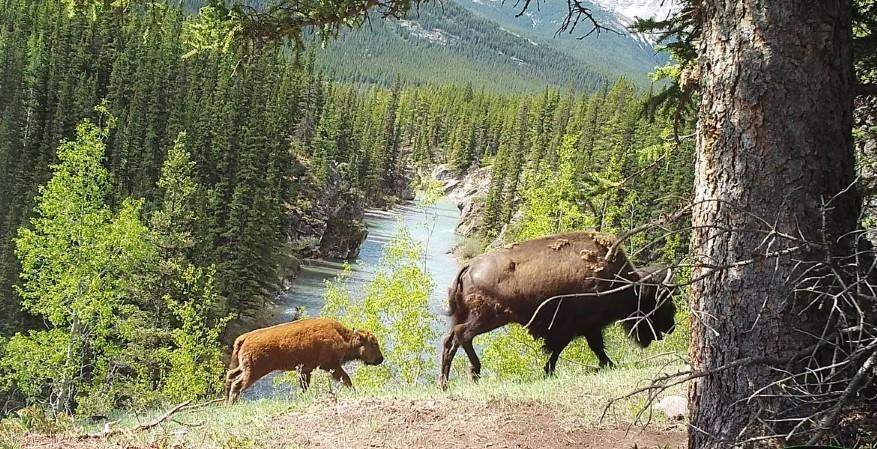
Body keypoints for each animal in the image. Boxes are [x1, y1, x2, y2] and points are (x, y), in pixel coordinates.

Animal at [439, 231, 676, 389]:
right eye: (658, 302)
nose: (671, 326)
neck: (622, 282)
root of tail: (468, 266)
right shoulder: (579, 327)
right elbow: (576, 347)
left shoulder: (583, 328)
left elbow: (585, 347)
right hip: (488, 318)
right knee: (462, 335)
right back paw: (473, 373)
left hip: (470, 316)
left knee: (451, 340)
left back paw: (447, 382)